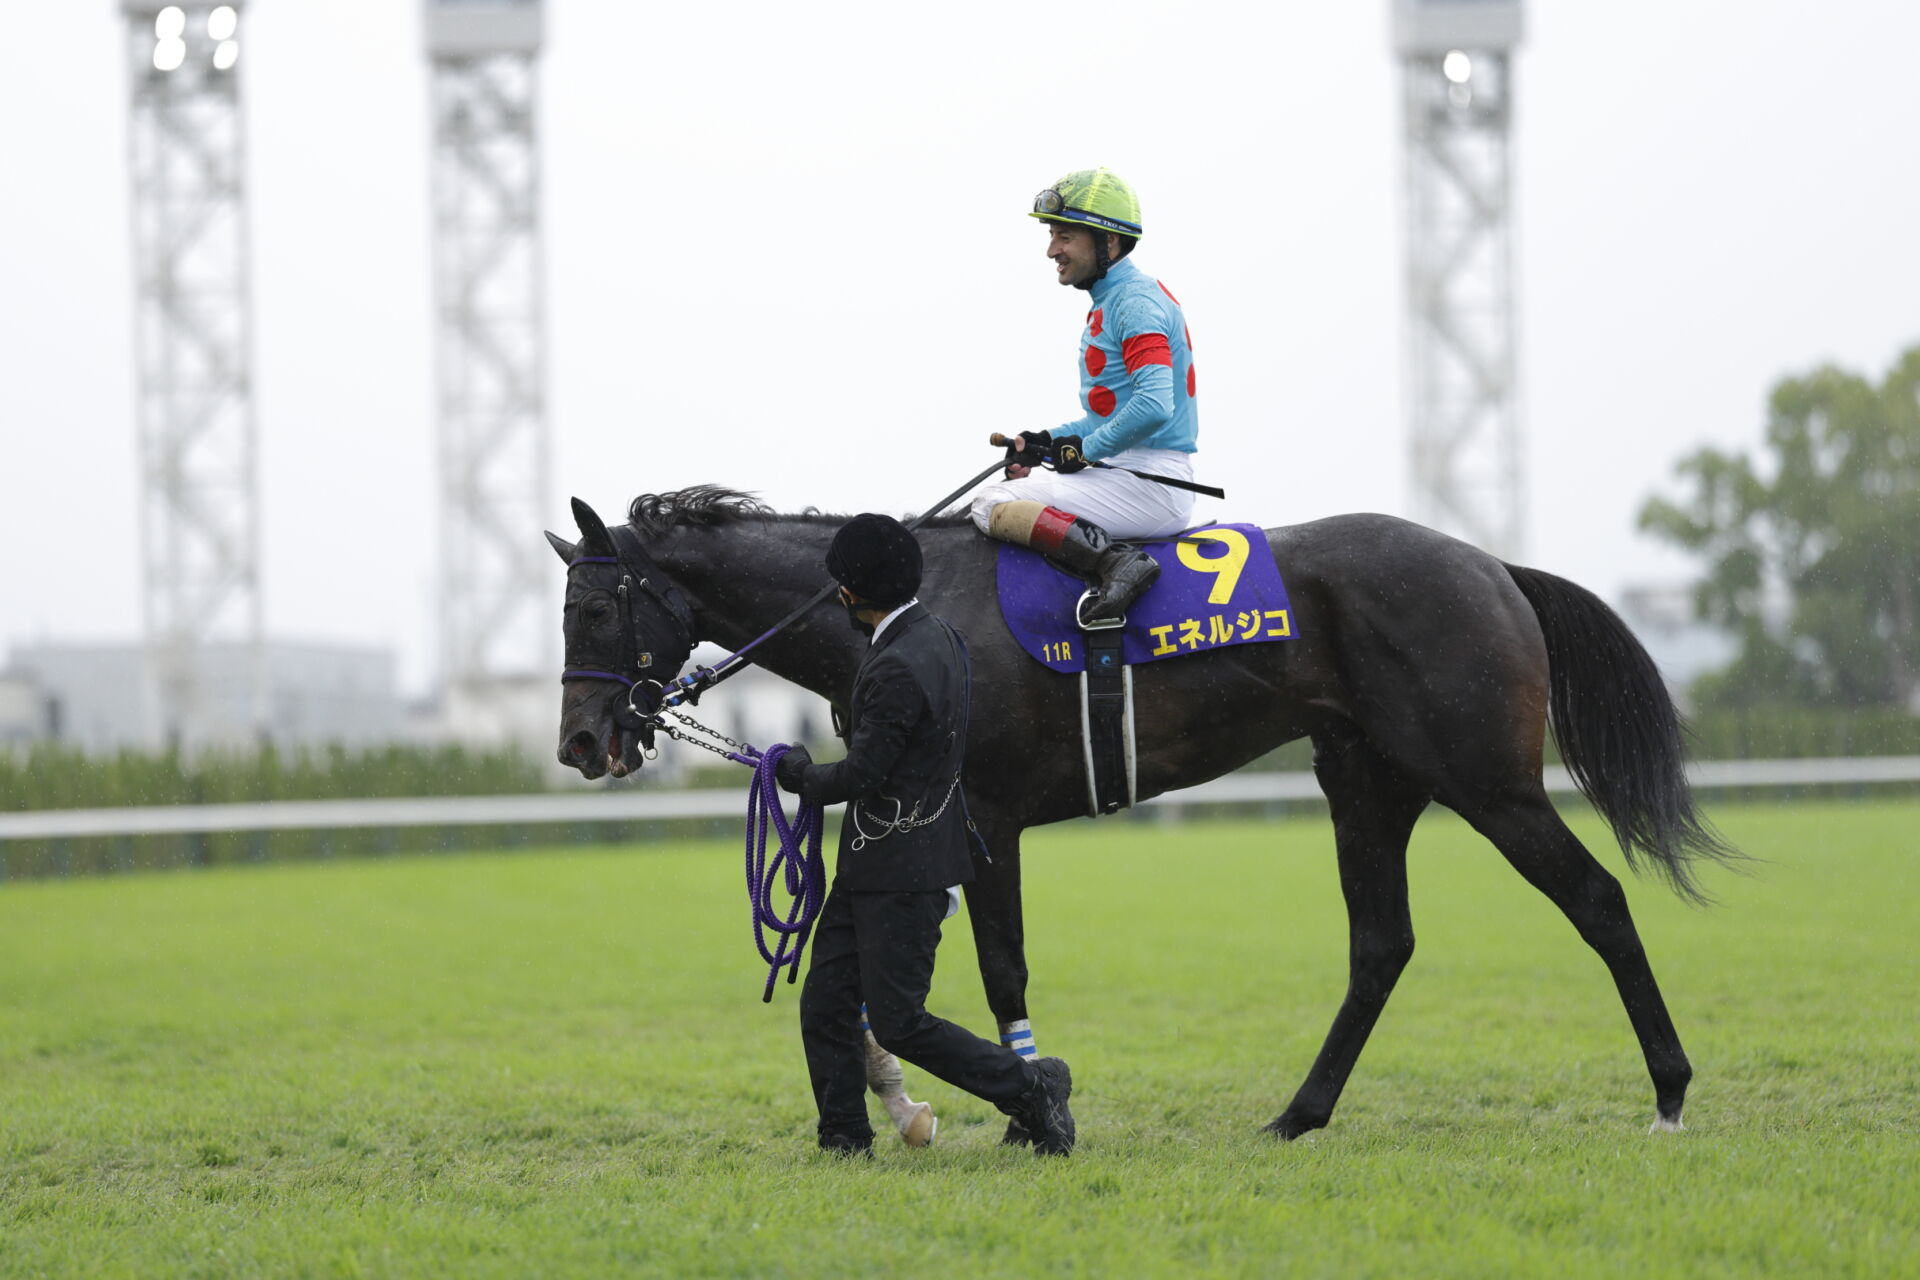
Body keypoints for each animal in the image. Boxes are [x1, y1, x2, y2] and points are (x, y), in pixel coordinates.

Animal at [548, 485, 1740, 1138]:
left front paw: (1028, 1103)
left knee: (1596, 899)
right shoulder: (914, 810)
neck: (906, 608)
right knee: (1381, 944)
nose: (580, 744)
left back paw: (1672, 1092)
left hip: (1487, 781)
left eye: (597, 608)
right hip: (1367, 783)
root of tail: (1491, 562)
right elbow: (865, 970)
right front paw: (913, 1106)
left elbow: (998, 970)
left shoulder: (983, 815)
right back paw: (1299, 1113)